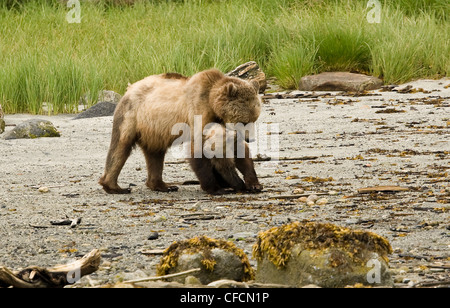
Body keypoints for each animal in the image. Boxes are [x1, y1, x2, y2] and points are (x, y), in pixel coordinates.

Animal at [98, 69, 260, 195]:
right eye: (244, 121)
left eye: (254, 119)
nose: (250, 138)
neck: (212, 104)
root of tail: (129, 88)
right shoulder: (198, 112)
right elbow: (199, 149)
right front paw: (217, 188)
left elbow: (239, 150)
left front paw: (253, 183)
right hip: (131, 116)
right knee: (120, 147)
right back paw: (114, 187)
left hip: (154, 131)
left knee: (155, 155)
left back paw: (162, 185)